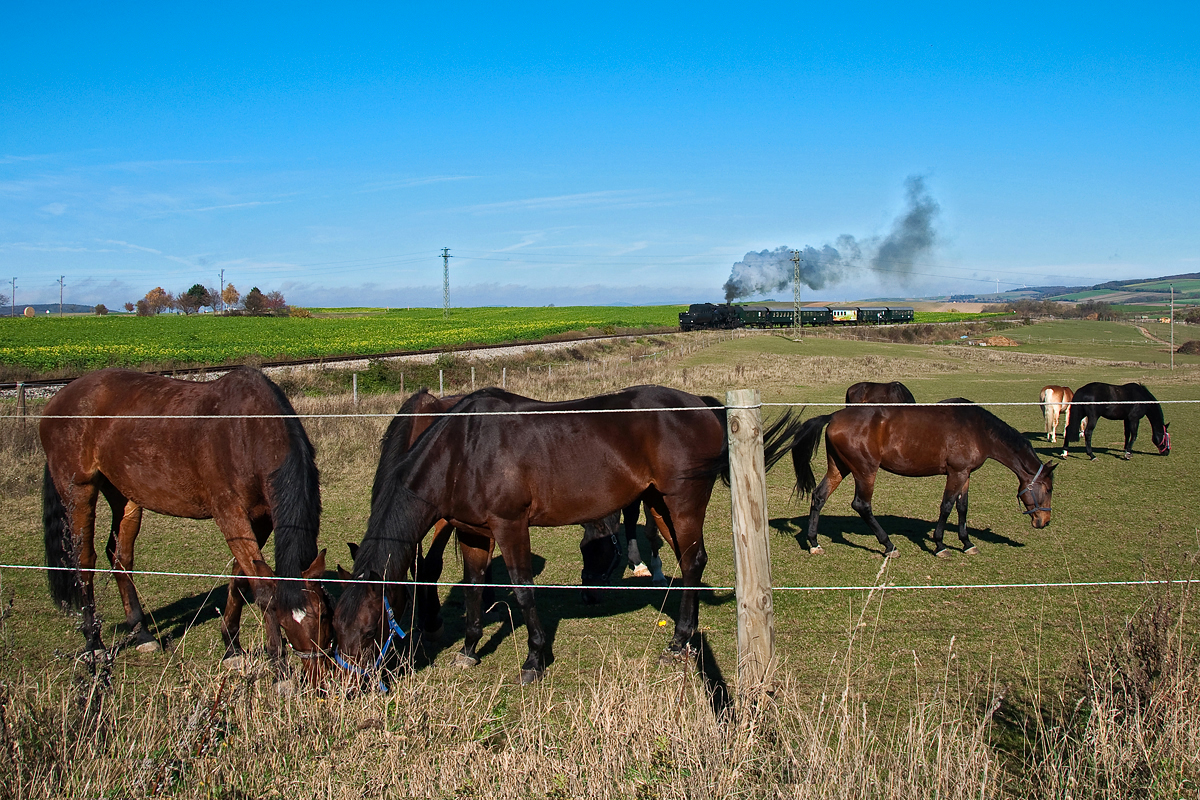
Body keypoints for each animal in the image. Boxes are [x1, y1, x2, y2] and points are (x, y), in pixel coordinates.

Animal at [41, 367, 333, 681]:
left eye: (324, 615)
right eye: (286, 623)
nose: (318, 676)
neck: (247, 432)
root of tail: (59, 398)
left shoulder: (261, 519)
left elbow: (239, 578)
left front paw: (232, 647)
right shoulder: (230, 514)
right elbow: (262, 589)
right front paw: (278, 668)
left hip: (125, 496)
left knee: (121, 557)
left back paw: (142, 635)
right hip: (79, 491)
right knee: (84, 561)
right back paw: (93, 643)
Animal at [331, 383, 796, 686]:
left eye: (370, 631)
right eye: (336, 629)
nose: (351, 687)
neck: (463, 449)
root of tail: (698, 404)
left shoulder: (510, 525)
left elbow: (522, 590)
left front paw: (534, 659)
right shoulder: (473, 533)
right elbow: (475, 586)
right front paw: (468, 650)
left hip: (683, 501)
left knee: (694, 561)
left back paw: (679, 640)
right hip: (659, 503)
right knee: (687, 563)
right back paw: (684, 641)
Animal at [792, 407, 1056, 556]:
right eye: (1048, 488)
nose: (1044, 521)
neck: (978, 430)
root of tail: (834, 416)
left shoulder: (966, 474)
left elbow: (962, 507)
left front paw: (967, 542)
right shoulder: (956, 473)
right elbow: (947, 507)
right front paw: (940, 545)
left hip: (840, 468)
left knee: (819, 496)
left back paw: (813, 542)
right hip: (865, 471)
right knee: (861, 505)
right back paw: (889, 545)